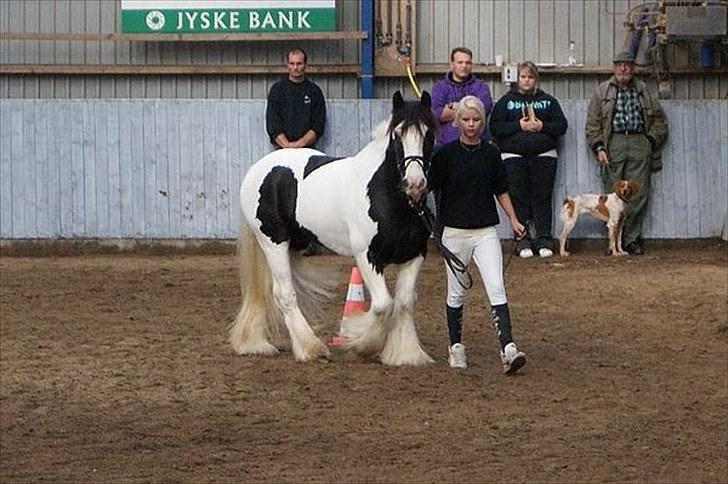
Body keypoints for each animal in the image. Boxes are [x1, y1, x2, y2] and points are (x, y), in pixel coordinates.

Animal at [230, 91, 436, 364]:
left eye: (429, 133)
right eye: (397, 134)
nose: (414, 184)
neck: (386, 197)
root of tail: (256, 170)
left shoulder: (414, 255)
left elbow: (403, 303)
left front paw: (405, 354)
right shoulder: (367, 256)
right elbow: (383, 304)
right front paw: (359, 342)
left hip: (293, 242)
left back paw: (255, 343)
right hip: (273, 242)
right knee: (284, 294)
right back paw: (310, 348)